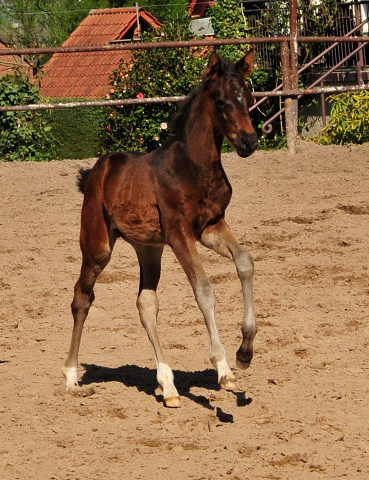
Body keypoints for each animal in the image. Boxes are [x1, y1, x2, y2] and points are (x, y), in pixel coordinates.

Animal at [63, 51, 258, 404]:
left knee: (145, 304)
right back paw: (71, 375)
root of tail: (97, 169)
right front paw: (223, 369)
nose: (248, 141)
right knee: (82, 297)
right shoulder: (180, 232)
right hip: (97, 246)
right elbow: (204, 289)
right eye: (220, 100)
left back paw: (168, 386)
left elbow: (245, 262)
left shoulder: (210, 227)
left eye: (248, 98)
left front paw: (244, 352)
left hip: (149, 248)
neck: (195, 167)